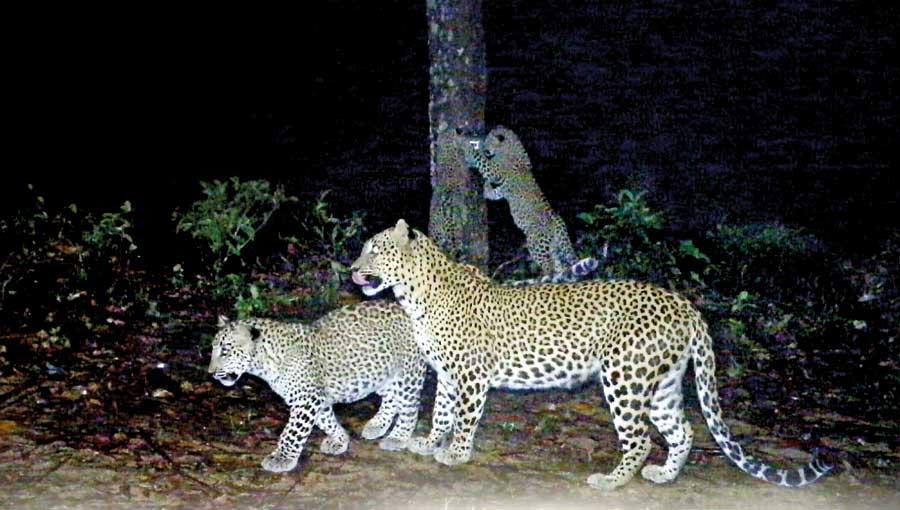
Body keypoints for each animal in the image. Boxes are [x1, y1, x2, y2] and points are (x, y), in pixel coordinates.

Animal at [350, 219, 828, 490]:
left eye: (375, 248)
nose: (353, 270)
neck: (415, 294)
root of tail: (686, 306)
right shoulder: (450, 375)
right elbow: (442, 411)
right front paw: (428, 443)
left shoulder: (470, 375)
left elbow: (464, 417)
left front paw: (456, 453)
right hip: (662, 384)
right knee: (683, 431)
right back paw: (664, 475)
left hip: (624, 377)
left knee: (640, 438)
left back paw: (611, 482)